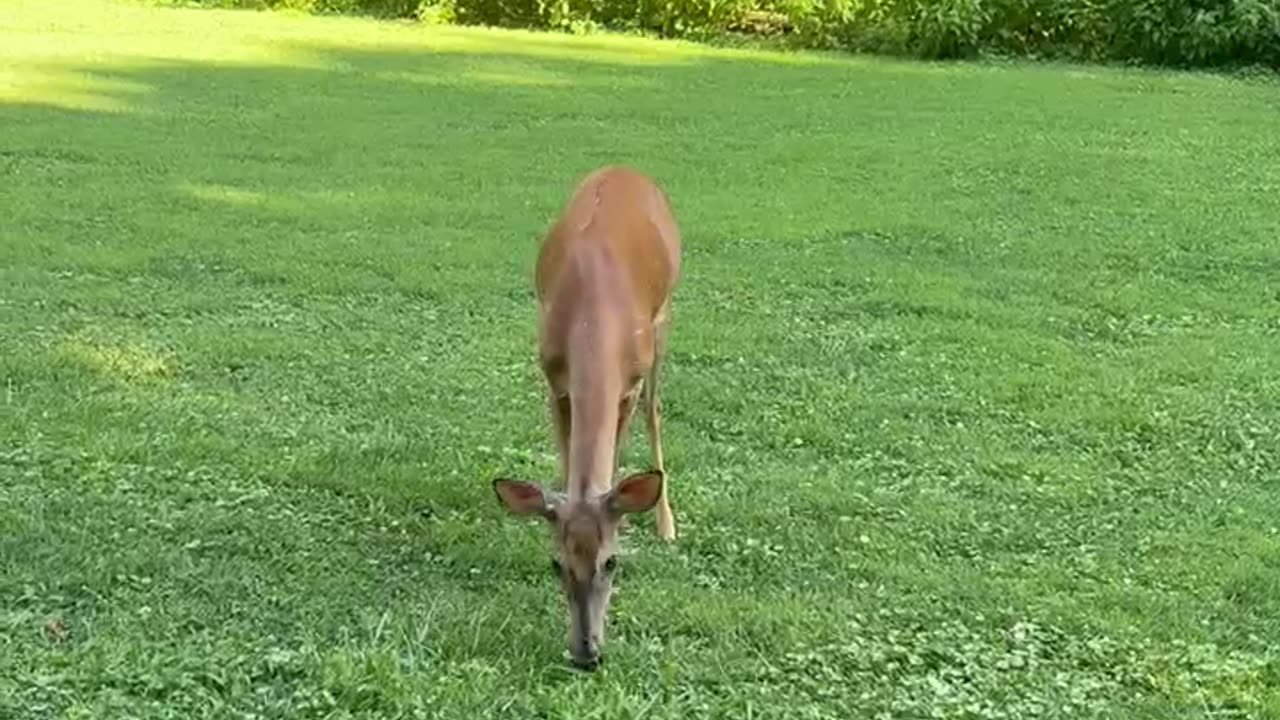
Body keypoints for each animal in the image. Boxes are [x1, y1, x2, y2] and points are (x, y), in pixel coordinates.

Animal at [491, 165, 682, 671]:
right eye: (555, 563)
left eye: (612, 562)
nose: (586, 652)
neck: (594, 317)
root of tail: (624, 168)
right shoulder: (553, 374)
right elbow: (565, 457)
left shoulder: (628, 383)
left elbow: (615, 457)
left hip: (663, 321)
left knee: (656, 410)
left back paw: (666, 523)